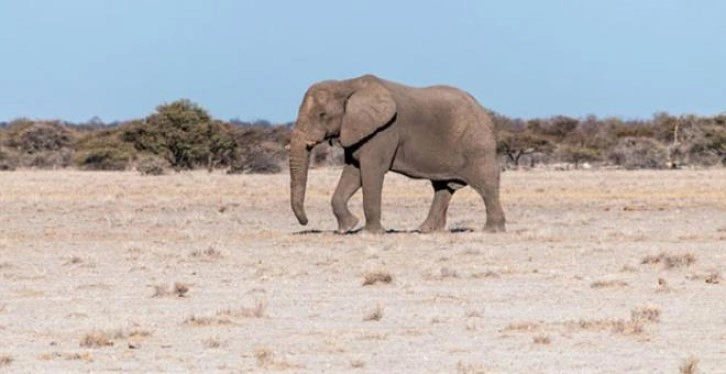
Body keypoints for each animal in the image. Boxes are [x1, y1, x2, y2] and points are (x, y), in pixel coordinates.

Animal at [290, 74, 506, 234]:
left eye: (322, 115)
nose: (306, 221)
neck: (347, 84)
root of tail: (481, 108)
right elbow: (353, 172)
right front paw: (348, 228)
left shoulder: (384, 132)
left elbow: (371, 171)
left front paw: (370, 233)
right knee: (443, 187)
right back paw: (426, 230)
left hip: (477, 143)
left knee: (485, 182)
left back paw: (492, 230)